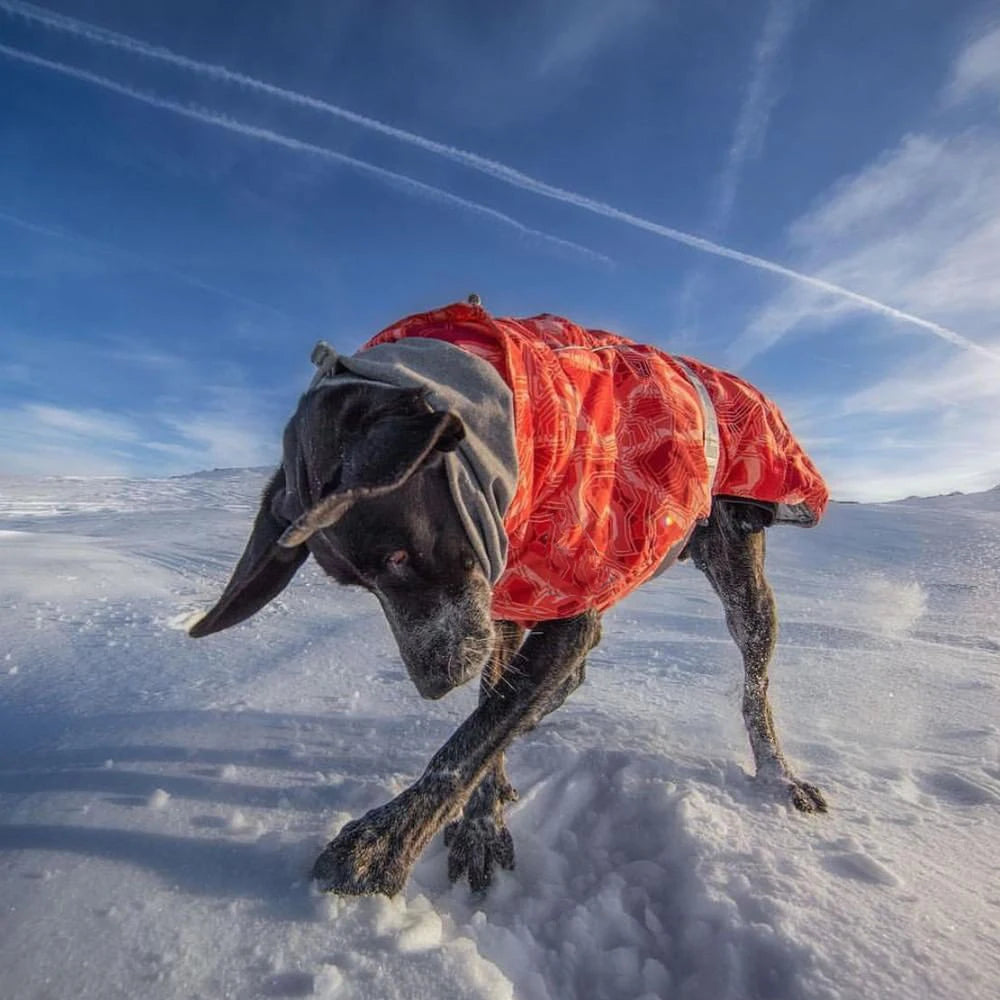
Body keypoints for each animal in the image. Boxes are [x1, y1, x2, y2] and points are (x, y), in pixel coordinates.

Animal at [188, 296, 828, 900]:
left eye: (397, 557)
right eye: (359, 586)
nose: (432, 683)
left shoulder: (562, 612)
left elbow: (473, 739)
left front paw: (381, 845)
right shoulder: (504, 597)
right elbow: (492, 711)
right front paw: (482, 820)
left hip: (744, 581)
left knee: (755, 687)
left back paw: (779, 777)